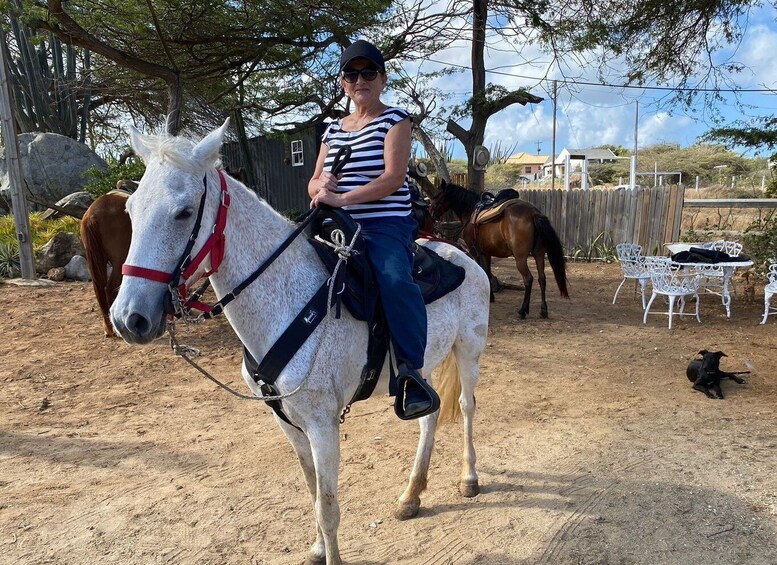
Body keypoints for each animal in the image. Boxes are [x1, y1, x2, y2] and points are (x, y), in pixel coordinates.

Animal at [108, 120, 488, 564]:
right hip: (421, 368)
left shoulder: (323, 426)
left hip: (469, 352)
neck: (288, 298)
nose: (128, 318)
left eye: (184, 212)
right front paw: (318, 548)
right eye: (131, 210)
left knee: (466, 407)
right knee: (429, 414)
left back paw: (469, 477)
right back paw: (411, 495)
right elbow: (311, 491)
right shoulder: (288, 423)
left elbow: (328, 507)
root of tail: (460, 254)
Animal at [428, 183, 568, 320]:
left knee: (528, 279)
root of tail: (533, 213)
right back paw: (543, 311)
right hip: (538, 254)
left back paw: (523, 310)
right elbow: (488, 273)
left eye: (437, 197)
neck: (470, 211)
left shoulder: (476, 252)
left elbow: (484, 272)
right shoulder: (487, 253)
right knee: (542, 279)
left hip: (520, 258)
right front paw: (491, 297)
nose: (432, 215)